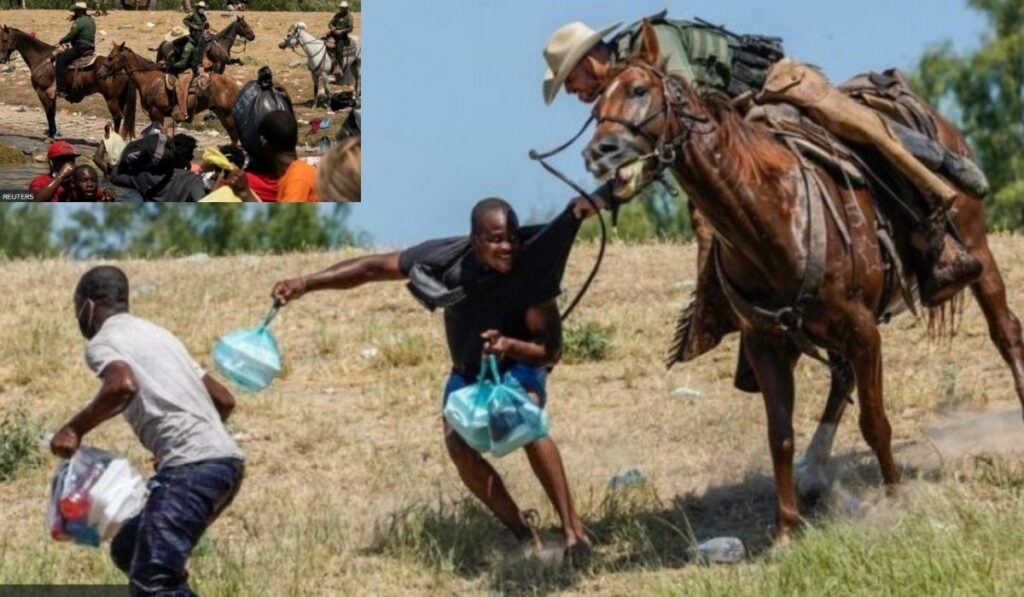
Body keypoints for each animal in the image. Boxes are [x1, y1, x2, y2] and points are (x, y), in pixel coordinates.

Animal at [0, 25, 136, 139]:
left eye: (4, 39)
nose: (1, 59)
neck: (42, 59)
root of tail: (123, 68)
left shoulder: (42, 92)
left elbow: (48, 113)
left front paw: (50, 135)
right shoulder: (52, 94)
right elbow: (52, 113)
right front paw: (53, 133)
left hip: (111, 99)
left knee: (117, 117)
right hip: (120, 99)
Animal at [98, 42, 239, 144]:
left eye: (111, 57)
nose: (100, 73)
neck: (150, 79)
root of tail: (234, 84)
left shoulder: (157, 113)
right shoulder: (152, 114)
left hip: (227, 114)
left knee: (235, 136)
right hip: (221, 113)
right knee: (233, 136)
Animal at [584, 22, 1024, 544]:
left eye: (639, 90)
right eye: (596, 104)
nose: (599, 152)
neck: (769, 214)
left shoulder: (861, 328)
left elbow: (875, 422)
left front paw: (896, 499)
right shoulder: (767, 343)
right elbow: (780, 435)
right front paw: (786, 529)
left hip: (977, 249)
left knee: (1005, 331)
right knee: (841, 378)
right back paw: (814, 471)